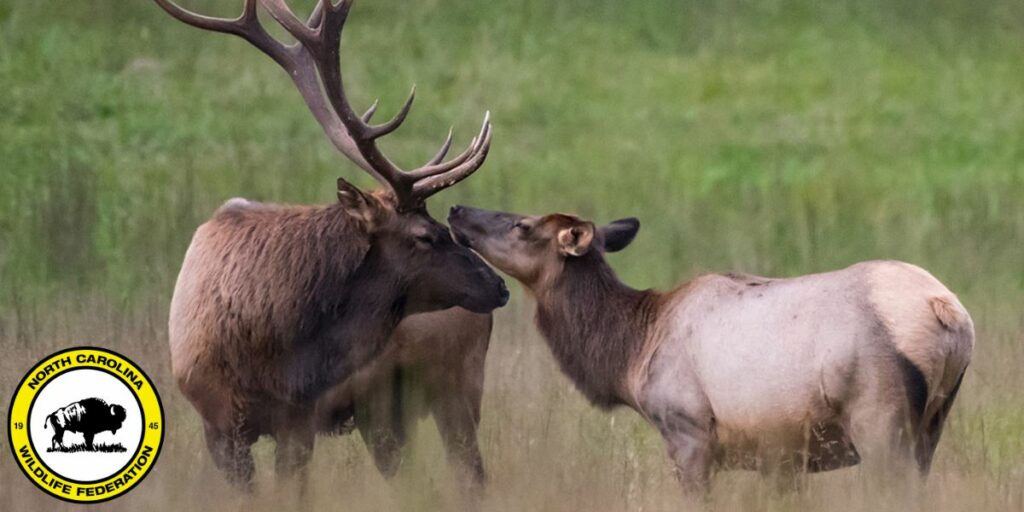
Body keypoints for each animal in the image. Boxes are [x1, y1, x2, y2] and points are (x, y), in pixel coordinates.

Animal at [158, 0, 510, 493]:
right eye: (425, 236)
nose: (499, 286)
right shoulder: (217, 424)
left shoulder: (298, 418)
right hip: (386, 414)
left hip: (456, 383)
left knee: (470, 477)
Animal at [448, 205, 974, 497]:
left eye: (522, 224)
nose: (456, 209)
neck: (631, 353)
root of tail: (949, 314)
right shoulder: (781, 455)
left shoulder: (688, 431)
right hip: (932, 427)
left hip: (880, 419)